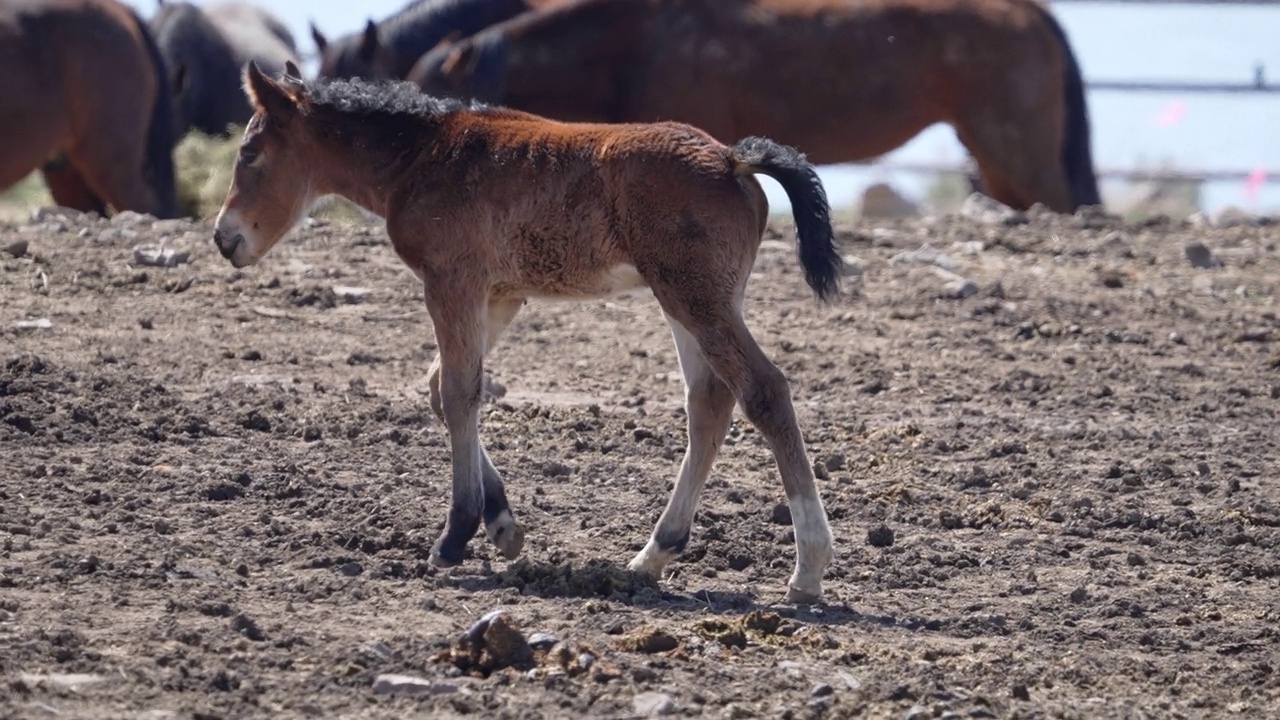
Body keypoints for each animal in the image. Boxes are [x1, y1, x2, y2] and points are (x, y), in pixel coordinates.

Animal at [215, 63, 844, 599]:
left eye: (249, 152)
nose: (225, 238)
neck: (421, 157)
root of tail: (734, 159)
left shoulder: (452, 279)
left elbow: (458, 393)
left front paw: (454, 537)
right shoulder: (500, 295)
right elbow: (443, 388)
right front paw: (502, 526)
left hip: (696, 297)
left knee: (764, 390)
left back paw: (807, 569)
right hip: (693, 298)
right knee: (710, 401)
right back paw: (653, 555)